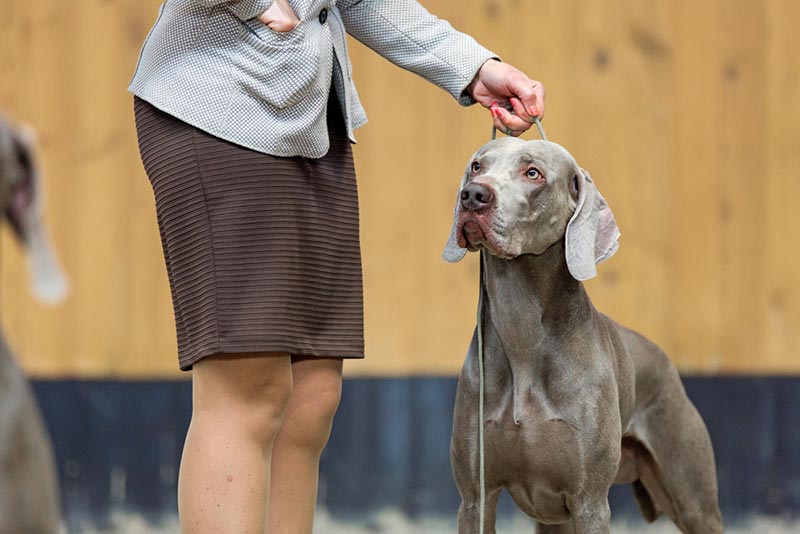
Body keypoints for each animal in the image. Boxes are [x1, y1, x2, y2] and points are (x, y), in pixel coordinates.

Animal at [444, 139, 724, 534]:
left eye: (533, 173)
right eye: (477, 166)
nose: (473, 195)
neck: (522, 328)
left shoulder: (589, 501)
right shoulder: (474, 498)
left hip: (694, 499)